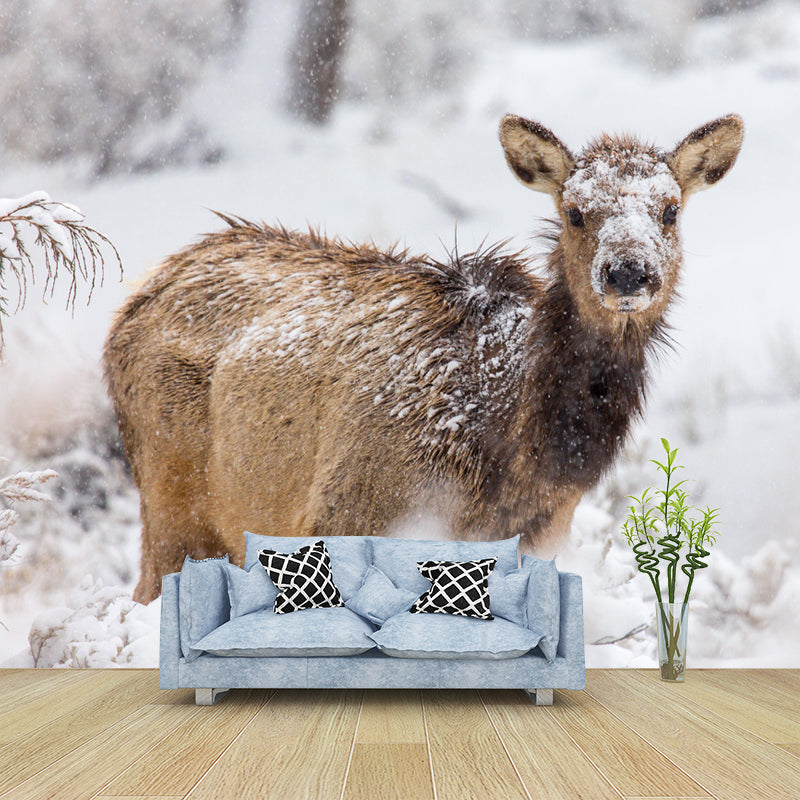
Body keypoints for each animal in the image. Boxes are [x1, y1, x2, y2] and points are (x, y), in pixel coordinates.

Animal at [104, 113, 743, 604]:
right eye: (575, 212)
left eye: (670, 210)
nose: (628, 273)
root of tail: (139, 294)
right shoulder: (345, 512)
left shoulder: (542, 536)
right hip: (169, 496)